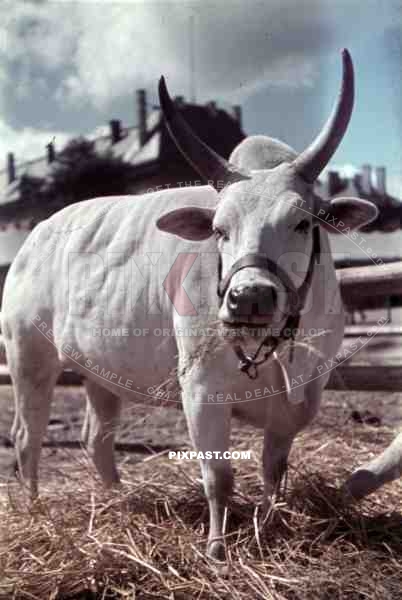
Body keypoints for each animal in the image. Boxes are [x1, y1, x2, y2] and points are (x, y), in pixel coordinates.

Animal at [3, 49, 376, 560]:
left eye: (303, 222)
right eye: (219, 229)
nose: (248, 298)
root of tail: (36, 235)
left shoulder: (300, 399)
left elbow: (273, 472)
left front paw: (267, 526)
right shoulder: (200, 391)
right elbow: (219, 477)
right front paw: (217, 550)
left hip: (100, 371)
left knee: (96, 438)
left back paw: (120, 500)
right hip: (29, 358)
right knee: (27, 437)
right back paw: (36, 509)